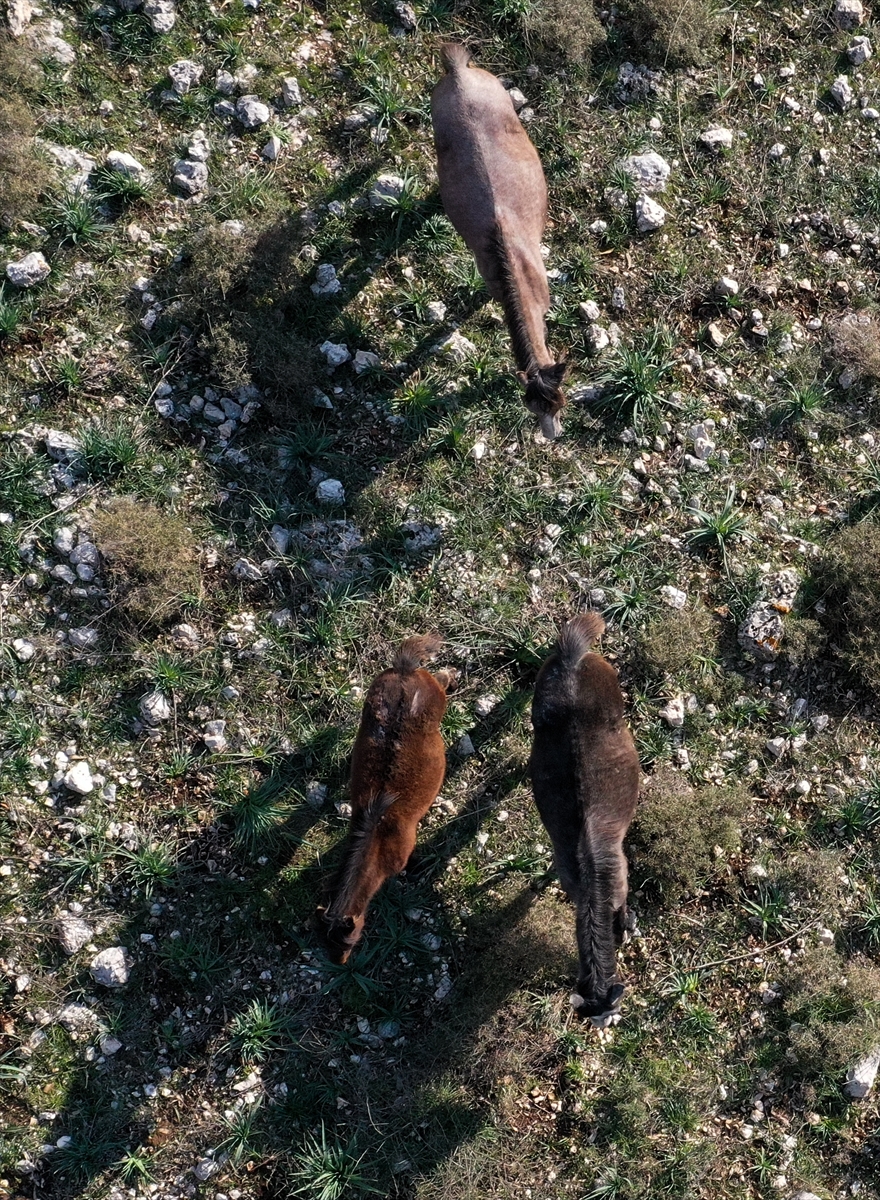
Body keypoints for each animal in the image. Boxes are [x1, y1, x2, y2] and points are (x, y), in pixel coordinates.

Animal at [314, 633, 453, 960]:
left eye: (347, 940)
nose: (341, 963)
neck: (377, 834)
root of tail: (404, 672)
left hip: (438, 694)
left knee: (444, 678)